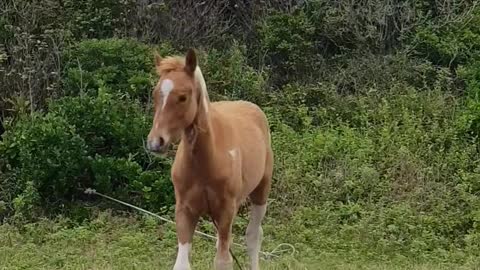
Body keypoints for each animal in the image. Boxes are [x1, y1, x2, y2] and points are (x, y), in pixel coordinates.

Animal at [146, 49, 274, 270]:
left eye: (183, 97)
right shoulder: (185, 210)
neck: (205, 163)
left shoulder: (226, 211)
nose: (155, 142)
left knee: (253, 236)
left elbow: (223, 261)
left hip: (261, 192)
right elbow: (182, 263)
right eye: (155, 94)